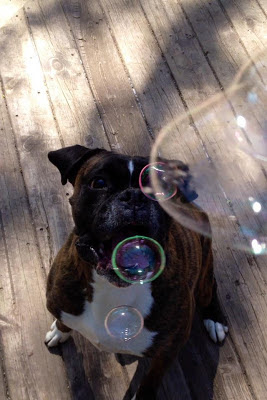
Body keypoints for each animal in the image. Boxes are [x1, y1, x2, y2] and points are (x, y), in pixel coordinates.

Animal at [45, 145, 228, 400]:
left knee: (211, 287)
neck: (113, 288)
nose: (135, 196)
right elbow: (63, 320)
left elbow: (148, 384)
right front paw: (59, 330)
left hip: (203, 274)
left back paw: (216, 320)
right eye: (99, 182)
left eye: (159, 188)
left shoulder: (165, 354)